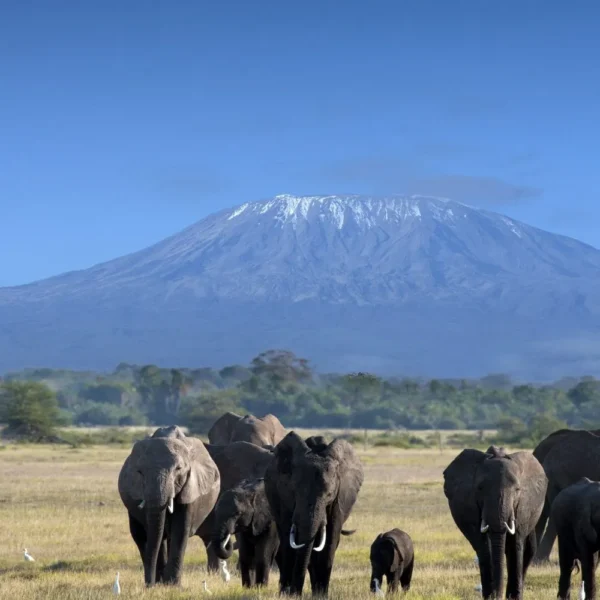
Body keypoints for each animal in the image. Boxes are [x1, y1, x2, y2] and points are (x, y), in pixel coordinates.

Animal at [117, 426, 220, 584]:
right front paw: (161, 583)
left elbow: (180, 530)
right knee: (141, 536)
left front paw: (172, 585)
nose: (149, 585)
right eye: (140, 472)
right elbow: (154, 533)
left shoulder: (191, 488)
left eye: (178, 469)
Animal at [264, 432, 364, 596]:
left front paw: (321, 595)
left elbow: (330, 539)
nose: (295, 592)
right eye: (295, 492)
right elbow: (289, 539)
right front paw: (289, 595)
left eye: (329, 494)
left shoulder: (340, 498)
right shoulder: (283, 494)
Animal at [442, 442, 548, 596]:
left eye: (517, 490)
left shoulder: (523, 507)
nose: (498, 596)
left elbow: (516, 544)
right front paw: (490, 596)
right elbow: (483, 546)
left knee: (528, 549)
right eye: (480, 488)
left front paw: (513, 597)